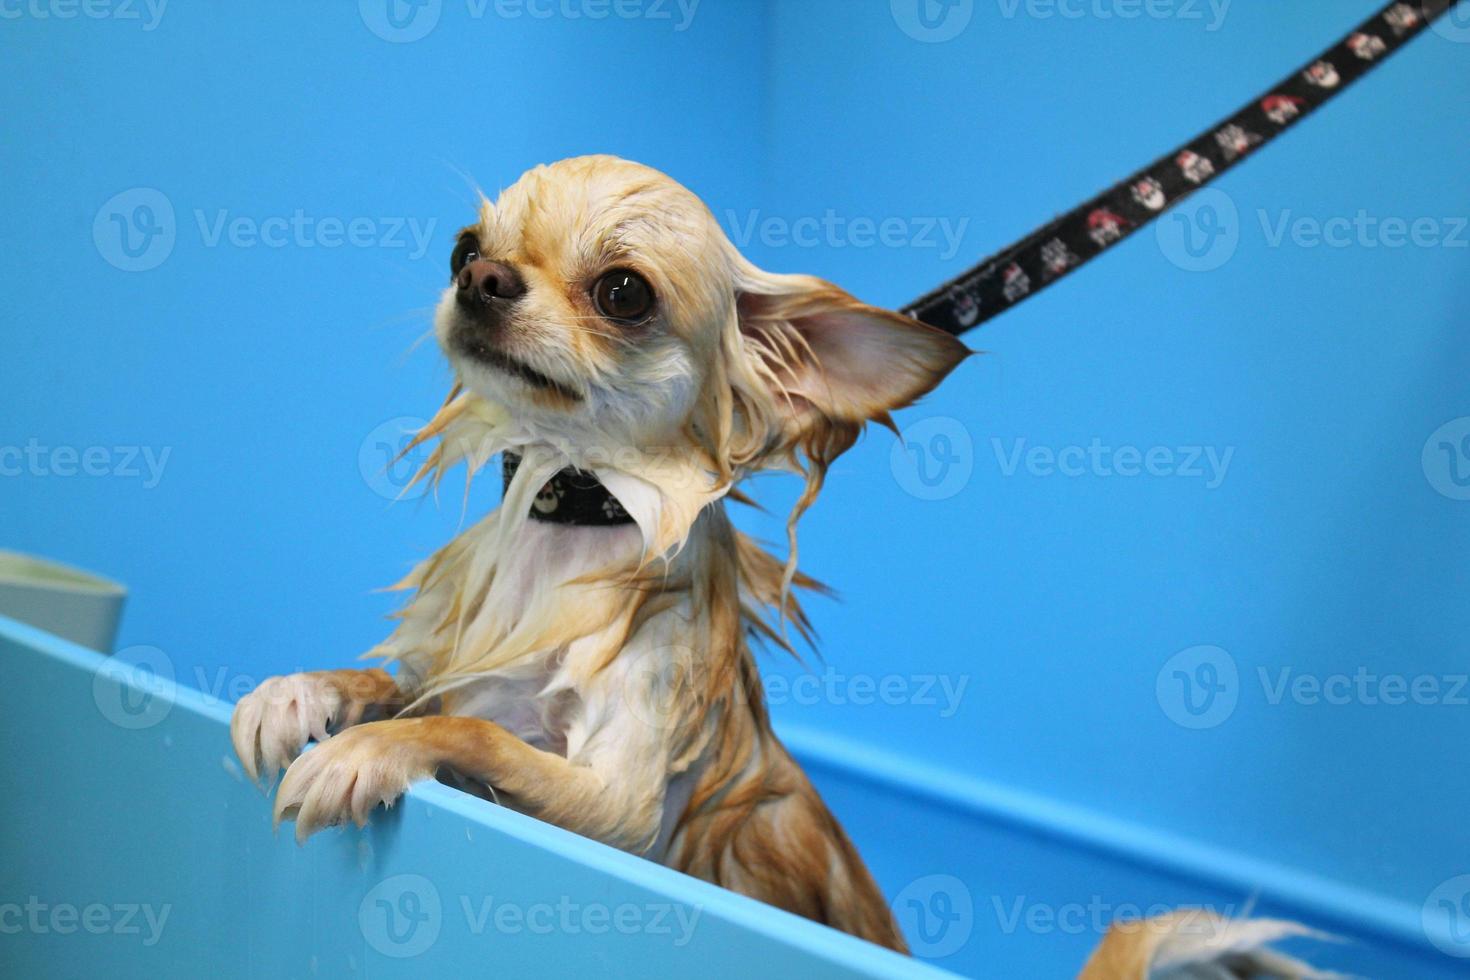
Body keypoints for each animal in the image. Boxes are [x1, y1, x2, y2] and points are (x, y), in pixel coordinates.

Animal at [235, 157, 1328, 975]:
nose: (481, 280)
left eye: (623, 291)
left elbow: (472, 731)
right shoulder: (458, 667)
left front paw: (365, 753)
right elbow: (404, 684)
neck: (568, 522)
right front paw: (299, 693)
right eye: (465, 249)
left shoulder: (621, 811)